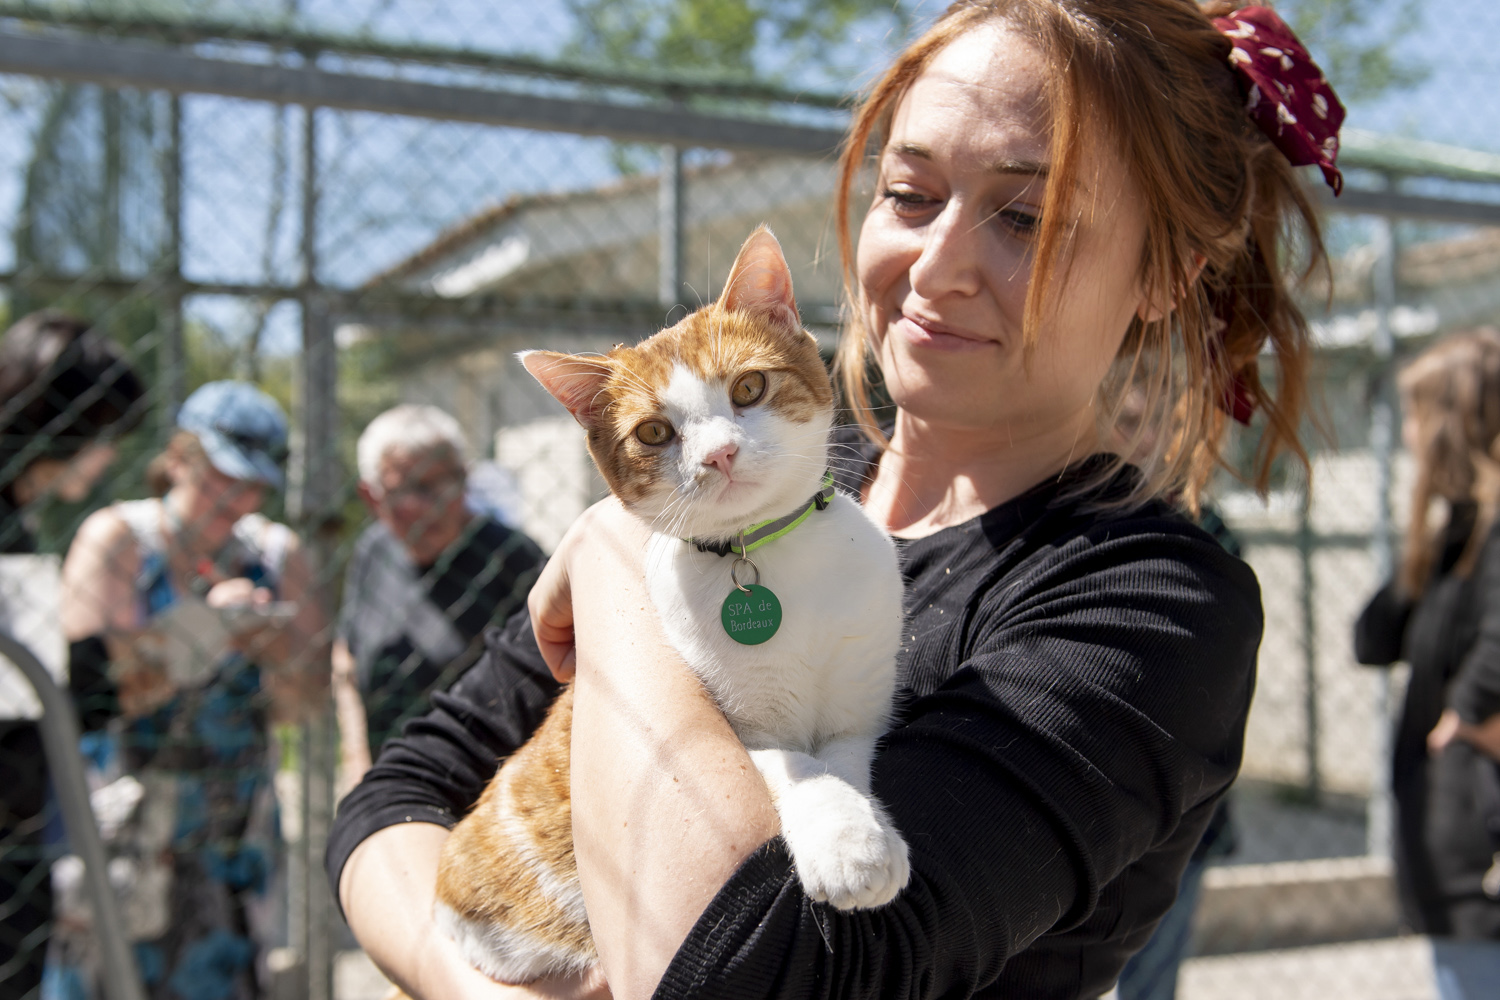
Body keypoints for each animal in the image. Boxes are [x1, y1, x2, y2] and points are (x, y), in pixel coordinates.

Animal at [429, 226, 906, 983]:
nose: (719, 455)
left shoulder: (858, 705)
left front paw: (862, 831)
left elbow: (840, 758)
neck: (772, 557)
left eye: (749, 387)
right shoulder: (740, 731)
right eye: (654, 433)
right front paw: (846, 844)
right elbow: (798, 769)